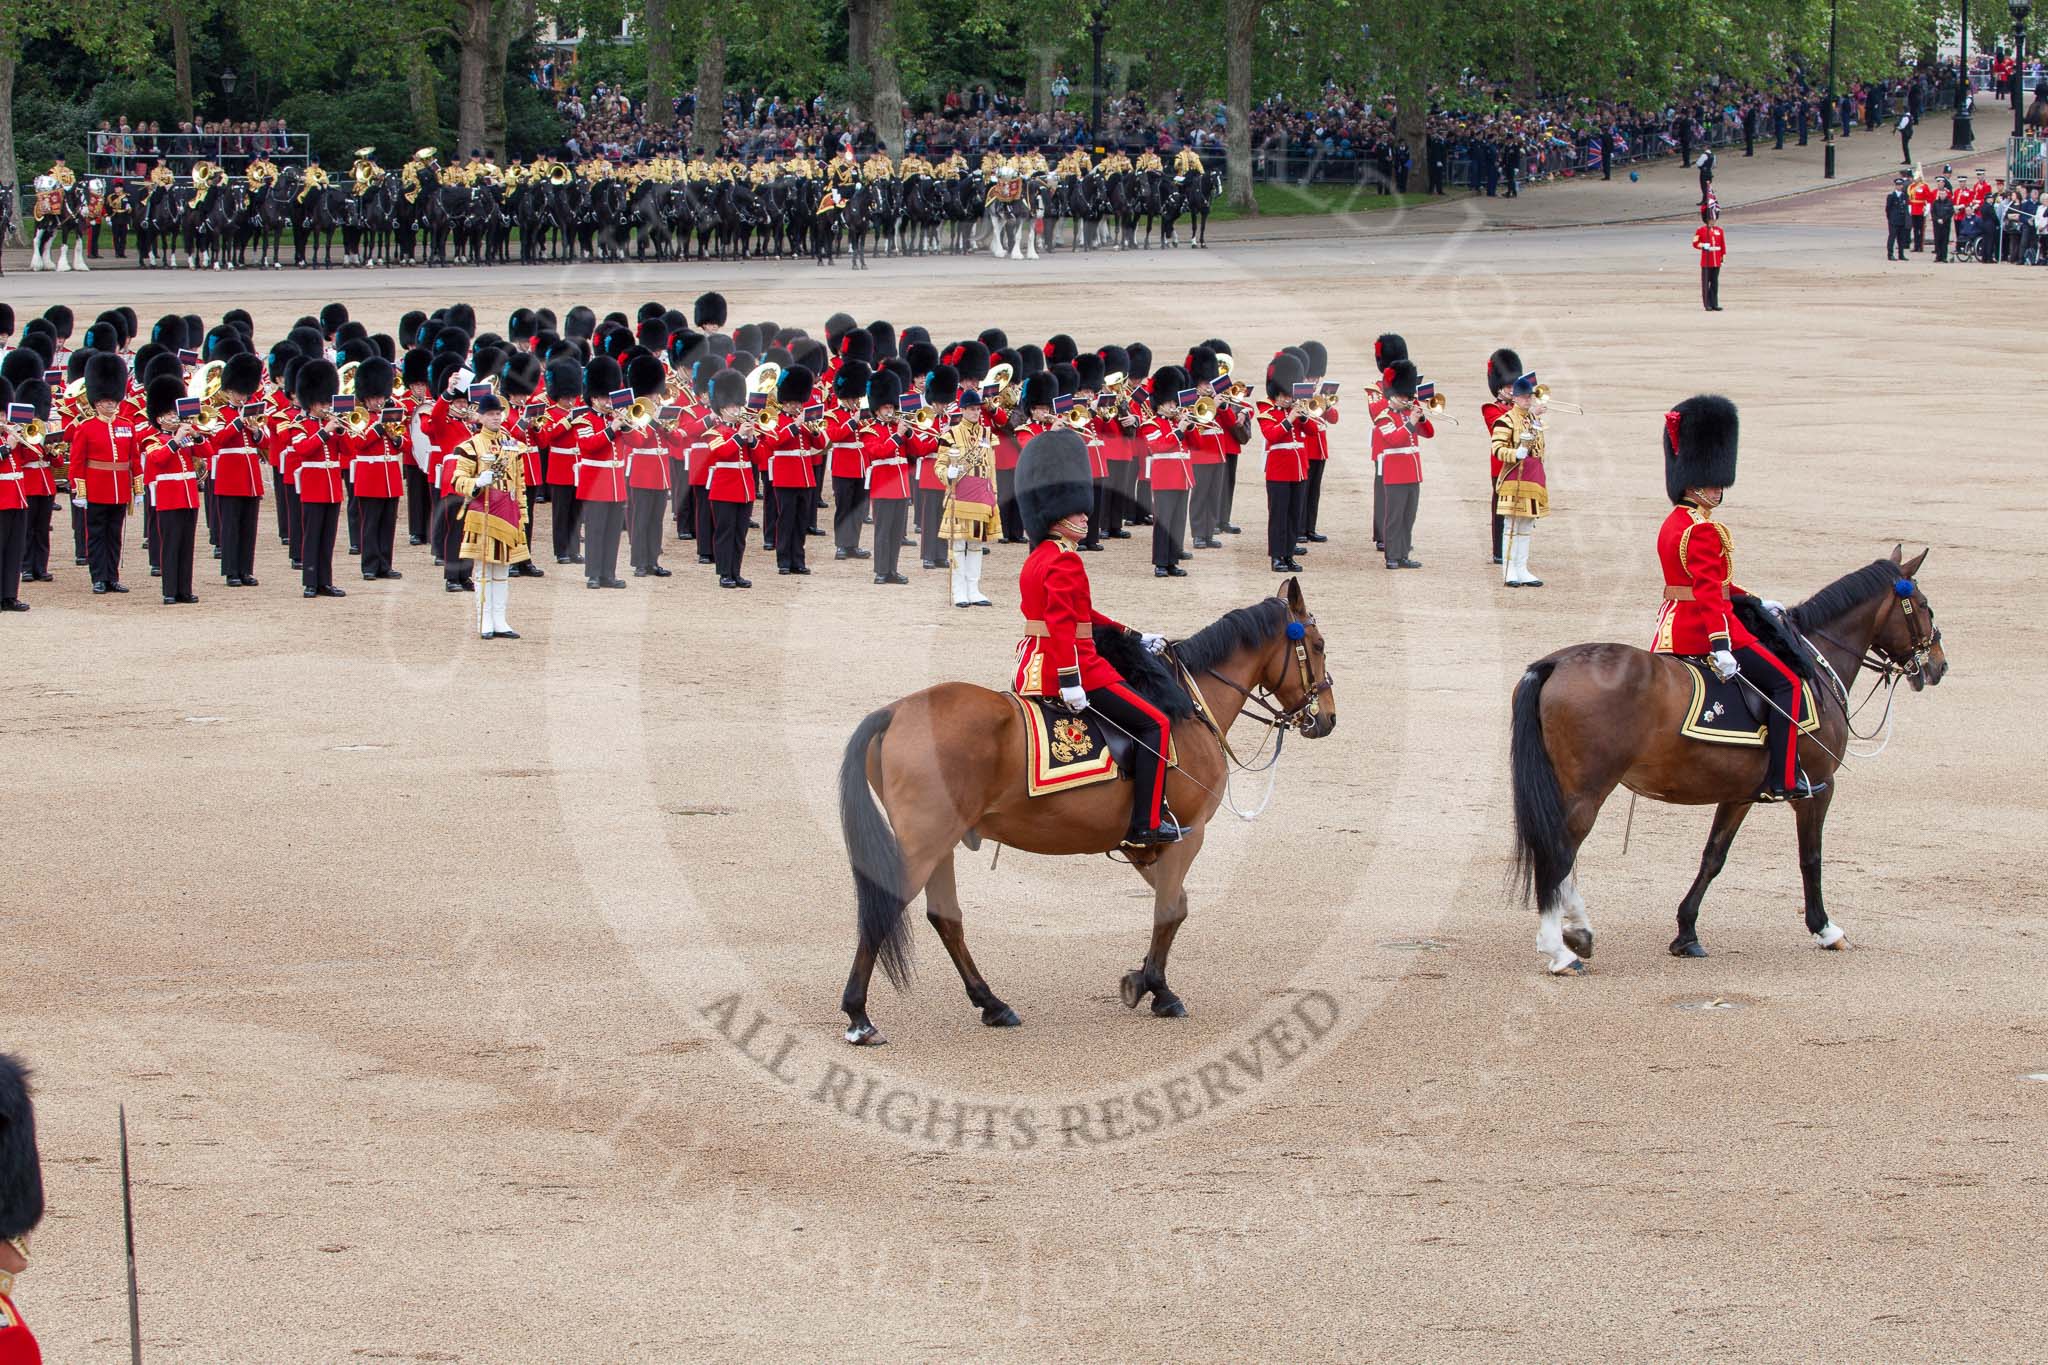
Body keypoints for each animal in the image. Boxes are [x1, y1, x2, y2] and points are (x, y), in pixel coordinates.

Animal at [839, 577, 1335, 1047]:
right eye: (1318, 645)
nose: (1326, 718)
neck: (1189, 710)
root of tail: (895, 711)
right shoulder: (1187, 833)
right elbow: (1170, 909)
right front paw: (1157, 988)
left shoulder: (1141, 844)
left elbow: (1173, 902)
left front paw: (1145, 979)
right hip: (925, 843)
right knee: (888, 909)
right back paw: (859, 1018)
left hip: (942, 843)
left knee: (946, 918)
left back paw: (991, 1004)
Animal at [1515, 544, 1941, 970]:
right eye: (1924, 606)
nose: (1938, 665)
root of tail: (1557, 663)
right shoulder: (1819, 788)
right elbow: (1811, 856)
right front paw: (1824, 928)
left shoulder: (1739, 795)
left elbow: (1713, 857)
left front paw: (1686, 932)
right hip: (1588, 790)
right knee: (1560, 852)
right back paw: (1559, 948)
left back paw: (1576, 933)